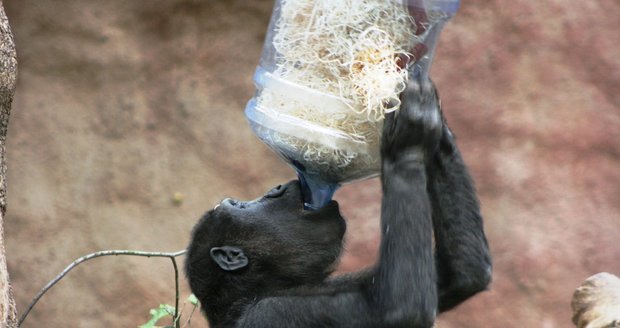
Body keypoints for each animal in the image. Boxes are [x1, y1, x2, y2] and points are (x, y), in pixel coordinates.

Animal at [186, 77, 492, 328]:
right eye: (239, 206)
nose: (276, 189)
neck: (267, 287)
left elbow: (458, 277)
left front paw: (431, 112)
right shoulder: (274, 313)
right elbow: (399, 308)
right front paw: (410, 132)